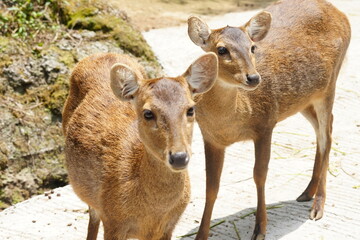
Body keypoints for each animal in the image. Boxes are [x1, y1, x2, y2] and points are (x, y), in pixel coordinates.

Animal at [61, 53, 217, 240]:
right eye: (148, 113)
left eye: (191, 109)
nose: (179, 157)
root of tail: (102, 54)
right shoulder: (113, 220)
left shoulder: (169, 225)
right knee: (92, 217)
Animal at [187, 0, 350, 239]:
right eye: (221, 49)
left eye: (252, 47)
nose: (254, 78)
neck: (230, 123)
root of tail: (339, 12)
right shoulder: (211, 138)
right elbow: (211, 187)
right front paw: (201, 234)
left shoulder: (265, 124)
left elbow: (260, 175)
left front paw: (260, 229)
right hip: (304, 99)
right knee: (325, 128)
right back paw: (306, 192)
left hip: (329, 86)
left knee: (326, 137)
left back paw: (318, 206)